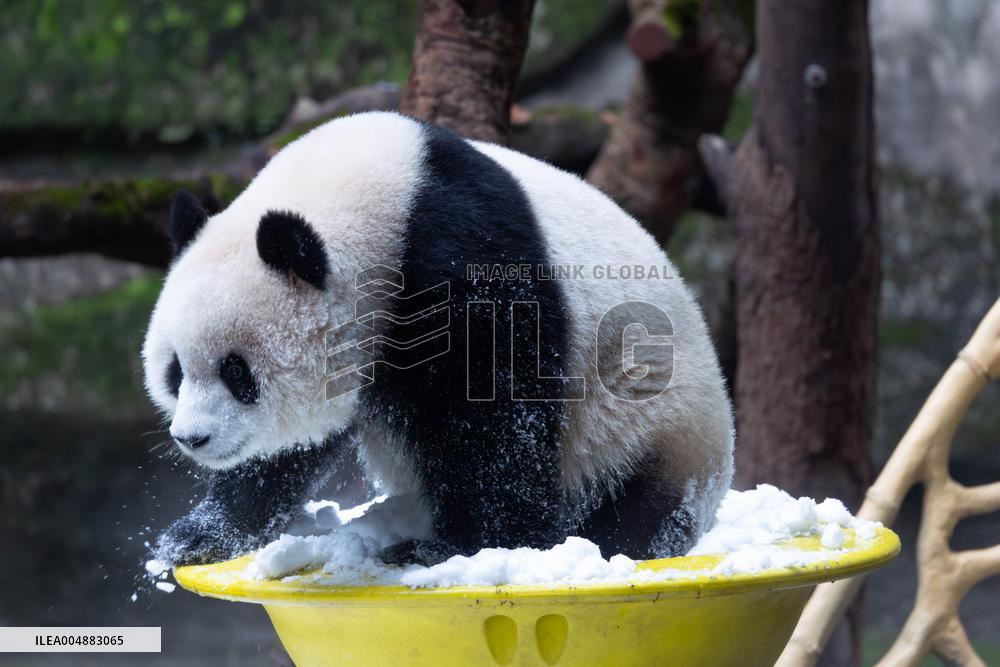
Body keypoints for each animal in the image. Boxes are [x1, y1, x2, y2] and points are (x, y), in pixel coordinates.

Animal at [144, 111, 734, 567]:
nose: (192, 438)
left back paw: (603, 542)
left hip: (652, 423)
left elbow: (495, 416)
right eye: (175, 371)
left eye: (237, 372)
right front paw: (199, 536)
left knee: (637, 501)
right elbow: (288, 452)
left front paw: (461, 549)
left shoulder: (464, 255)